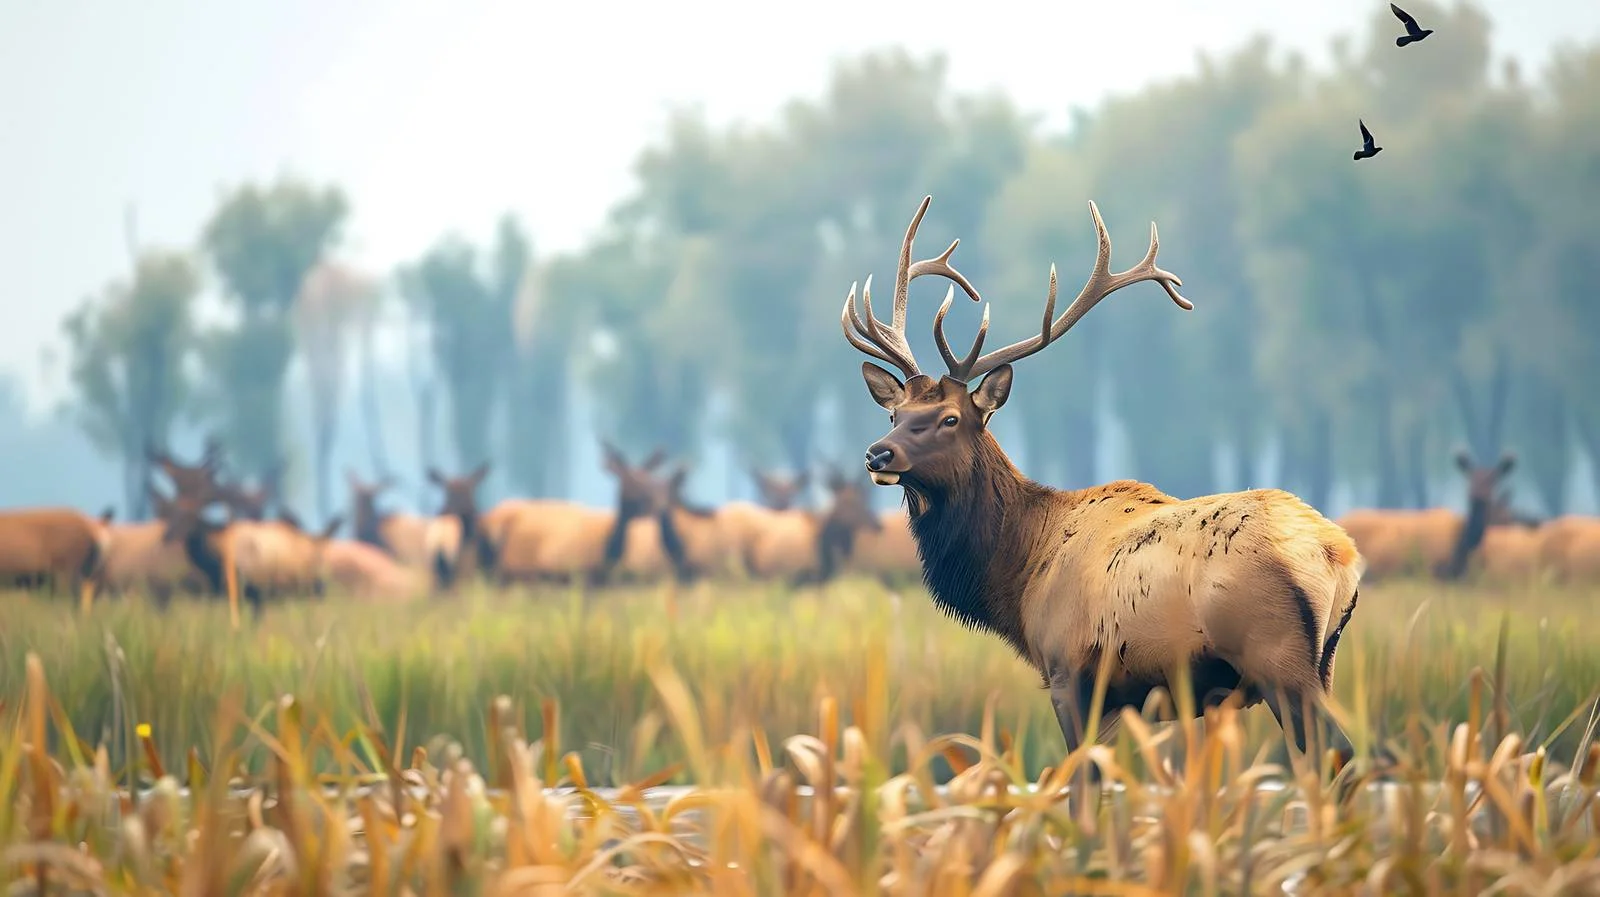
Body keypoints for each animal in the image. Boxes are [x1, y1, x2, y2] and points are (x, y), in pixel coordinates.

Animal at [839, 195, 1365, 783]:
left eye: (950, 418)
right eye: (895, 413)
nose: (877, 454)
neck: (1019, 574)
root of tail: (1337, 553)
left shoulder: (1070, 673)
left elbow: (1082, 780)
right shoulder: (1124, 699)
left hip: (1277, 655)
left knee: (1337, 752)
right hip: (1326, 662)